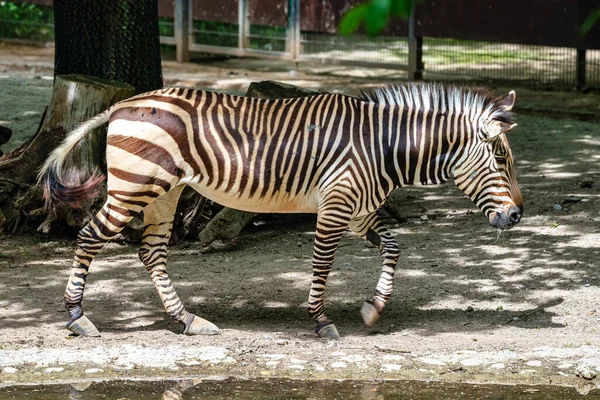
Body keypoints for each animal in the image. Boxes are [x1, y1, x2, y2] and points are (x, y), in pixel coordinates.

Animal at [39, 83, 524, 340]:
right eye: (501, 158)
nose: (518, 216)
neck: (383, 147)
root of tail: (123, 103)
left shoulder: (359, 210)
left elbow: (392, 246)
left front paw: (374, 308)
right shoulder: (336, 206)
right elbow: (323, 264)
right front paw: (322, 322)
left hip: (165, 192)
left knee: (151, 252)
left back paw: (188, 320)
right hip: (134, 187)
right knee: (89, 237)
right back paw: (78, 318)